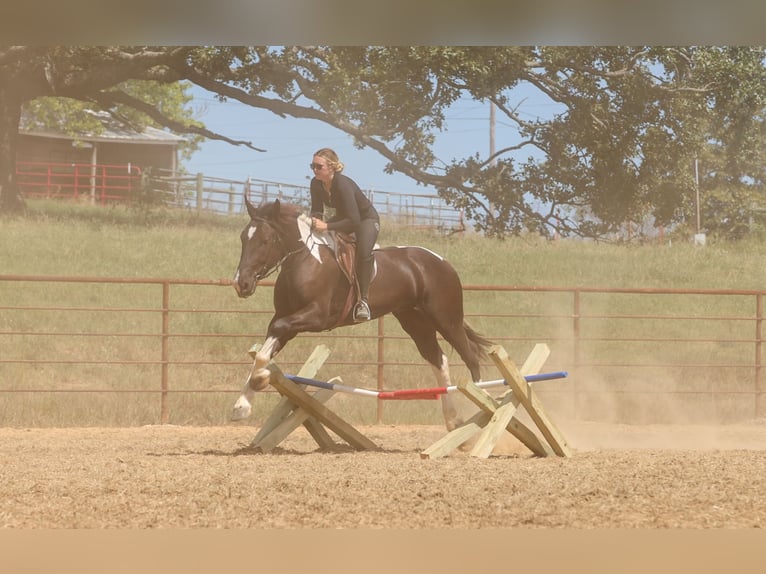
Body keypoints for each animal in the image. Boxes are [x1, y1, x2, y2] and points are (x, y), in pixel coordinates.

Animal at [231, 198, 493, 430]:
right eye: (243, 238)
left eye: (265, 240)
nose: (241, 284)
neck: (304, 261)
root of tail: (443, 262)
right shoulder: (287, 320)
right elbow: (265, 349)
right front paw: (243, 405)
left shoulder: (317, 316)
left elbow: (275, 334)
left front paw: (259, 380)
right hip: (415, 322)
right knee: (439, 360)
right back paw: (453, 419)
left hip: (446, 319)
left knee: (470, 356)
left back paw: (484, 403)